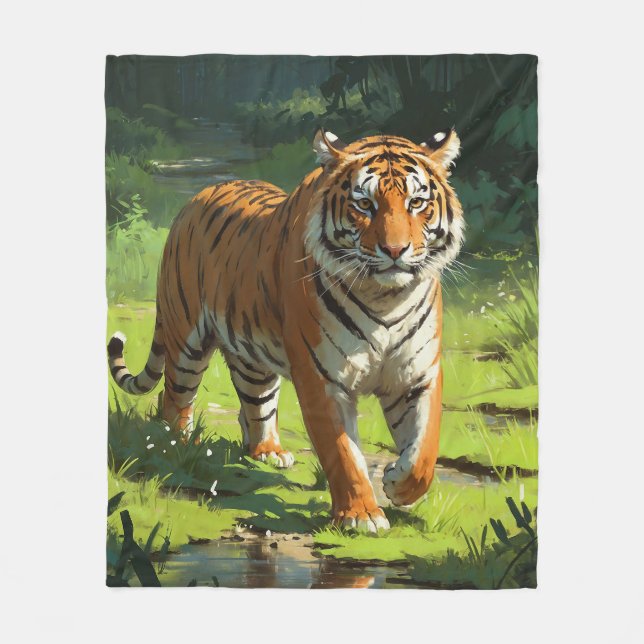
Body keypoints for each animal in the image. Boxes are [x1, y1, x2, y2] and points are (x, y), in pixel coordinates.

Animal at [108, 128, 464, 532]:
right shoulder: (322, 377)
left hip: (252, 357)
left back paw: (268, 451)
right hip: (186, 340)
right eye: (364, 205)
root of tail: (195, 200)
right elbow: (343, 452)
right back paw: (179, 446)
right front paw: (361, 516)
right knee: (173, 401)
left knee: (256, 403)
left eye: (417, 202)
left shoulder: (416, 374)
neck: (385, 296)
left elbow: (425, 448)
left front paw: (399, 484)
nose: (395, 250)